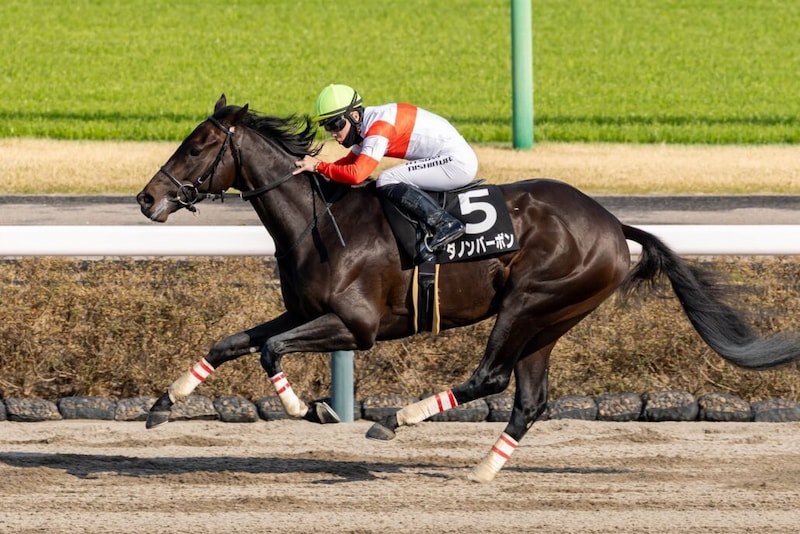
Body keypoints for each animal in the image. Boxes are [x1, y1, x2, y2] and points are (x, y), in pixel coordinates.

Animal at [137, 95, 800, 482]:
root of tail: (613, 224)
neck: (318, 220)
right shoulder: (303, 310)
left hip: (530, 302)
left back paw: (397, 419)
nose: (146, 199)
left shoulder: (356, 327)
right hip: (551, 320)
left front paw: (313, 408)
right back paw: (483, 469)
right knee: (529, 399)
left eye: (197, 145)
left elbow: (272, 351)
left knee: (492, 377)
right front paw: (163, 405)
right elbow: (231, 343)